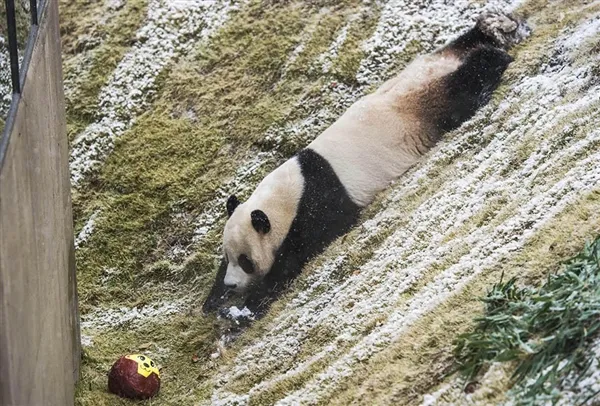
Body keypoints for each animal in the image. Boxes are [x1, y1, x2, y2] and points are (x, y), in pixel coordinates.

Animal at [205, 8, 528, 314]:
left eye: (245, 260)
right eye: (228, 256)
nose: (232, 285)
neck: (290, 189)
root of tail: (440, 68)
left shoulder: (317, 208)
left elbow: (298, 255)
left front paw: (251, 302)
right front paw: (213, 297)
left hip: (429, 105)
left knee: (464, 87)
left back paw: (492, 56)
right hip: (423, 65)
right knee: (461, 43)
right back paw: (490, 30)